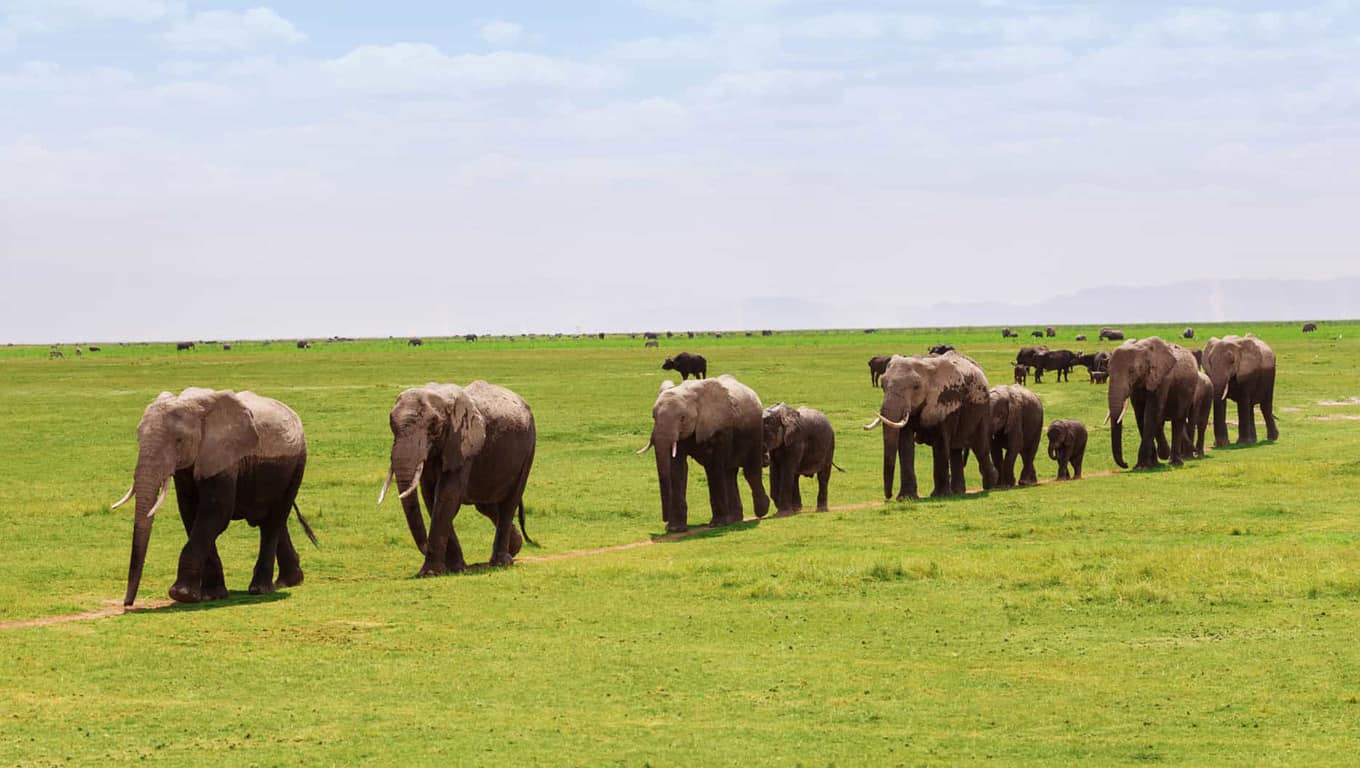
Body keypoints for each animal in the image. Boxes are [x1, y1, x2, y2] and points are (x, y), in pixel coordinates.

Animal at [112, 388, 314, 606]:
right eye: (138, 438)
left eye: (179, 440)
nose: (127, 603)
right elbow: (190, 513)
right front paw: (212, 595)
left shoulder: (223, 456)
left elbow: (214, 514)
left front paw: (181, 594)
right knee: (272, 520)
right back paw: (288, 582)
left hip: (297, 463)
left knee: (273, 521)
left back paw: (260, 589)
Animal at [380, 380, 538, 570]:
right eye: (391, 424)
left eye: (434, 427)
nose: (425, 548)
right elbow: (430, 496)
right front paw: (455, 568)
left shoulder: (462, 443)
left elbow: (447, 495)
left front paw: (431, 572)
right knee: (487, 506)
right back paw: (515, 547)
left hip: (529, 448)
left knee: (509, 503)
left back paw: (501, 562)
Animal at [636, 372, 767, 530]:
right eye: (653, 417)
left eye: (682, 418)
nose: (664, 520)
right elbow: (677, 469)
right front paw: (675, 528)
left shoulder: (720, 427)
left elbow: (713, 468)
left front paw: (717, 524)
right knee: (730, 473)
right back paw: (735, 519)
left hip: (755, 431)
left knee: (750, 472)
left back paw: (761, 511)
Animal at [859, 350, 1000, 497]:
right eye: (883, 386)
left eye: (916, 387)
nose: (889, 496)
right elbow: (905, 444)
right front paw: (906, 497)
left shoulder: (945, 398)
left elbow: (940, 443)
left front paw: (940, 495)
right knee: (955, 449)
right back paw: (958, 492)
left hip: (983, 409)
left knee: (980, 447)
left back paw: (990, 485)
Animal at [1104, 338, 1202, 470]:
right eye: (1108, 372)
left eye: (1131, 371)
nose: (1126, 464)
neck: (1141, 348)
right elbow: (1140, 415)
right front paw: (1151, 465)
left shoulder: (1162, 379)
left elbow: (1151, 413)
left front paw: (1142, 467)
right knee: (1161, 421)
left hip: (1188, 390)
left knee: (1178, 420)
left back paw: (1175, 462)